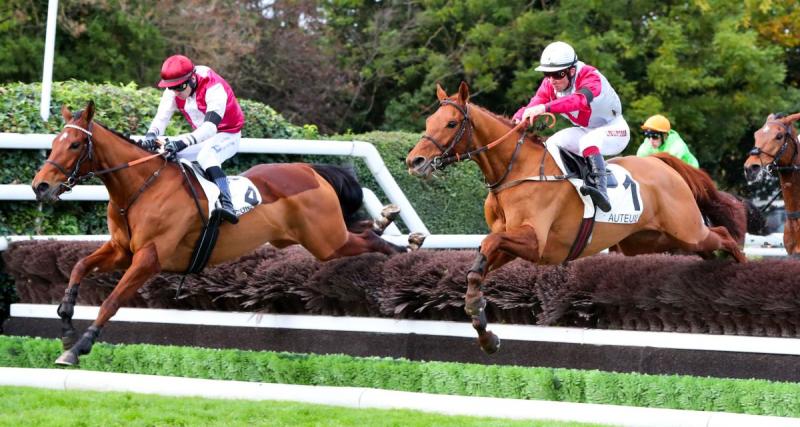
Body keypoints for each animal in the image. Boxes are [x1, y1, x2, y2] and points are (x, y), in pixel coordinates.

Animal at [32, 102, 410, 366]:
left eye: (76, 144)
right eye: (55, 141)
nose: (40, 186)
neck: (141, 187)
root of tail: (308, 169)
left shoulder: (149, 258)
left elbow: (112, 300)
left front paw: (79, 347)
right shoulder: (122, 250)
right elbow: (80, 266)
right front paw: (66, 325)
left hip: (325, 242)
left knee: (367, 241)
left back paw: (403, 253)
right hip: (312, 236)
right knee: (360, 228)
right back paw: (391, 225)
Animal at [406, 83, 752, 354]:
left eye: (452, 124)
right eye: (430, 120)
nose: (415, 161)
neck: (516, 172)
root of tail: (662, 162)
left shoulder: (535, 242)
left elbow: (489, 243)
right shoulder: (512, 245)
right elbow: (479, 263)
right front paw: (484, 330)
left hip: (687, 229)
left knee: (723, 234)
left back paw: (746, 275)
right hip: (651, 241)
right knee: (709, 251)